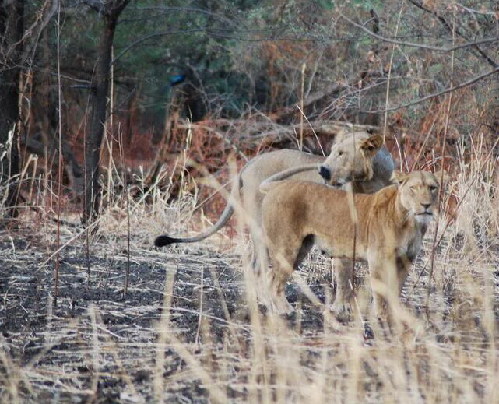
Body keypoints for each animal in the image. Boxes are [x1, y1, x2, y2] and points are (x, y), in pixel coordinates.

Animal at [154, 129, 392, 274]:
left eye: (342, 153)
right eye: (332, 151)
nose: (322, 170)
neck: (373, 179)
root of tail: (251, 162)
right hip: (263, 224)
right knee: (257, 263)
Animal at [260, 170, 440, 316]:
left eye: (432, 188)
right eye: (413, 188)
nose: (426, 205)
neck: (411, 223)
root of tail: (279, 185)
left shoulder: (406, 259)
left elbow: (396, 289)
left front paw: (395, 315)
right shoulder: (378, 258)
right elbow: (380, 289)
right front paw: (379, 315)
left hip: (302, 248)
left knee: (269, 276)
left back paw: (271, 307)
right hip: (287, 247)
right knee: (276, 280)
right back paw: (284, 309)